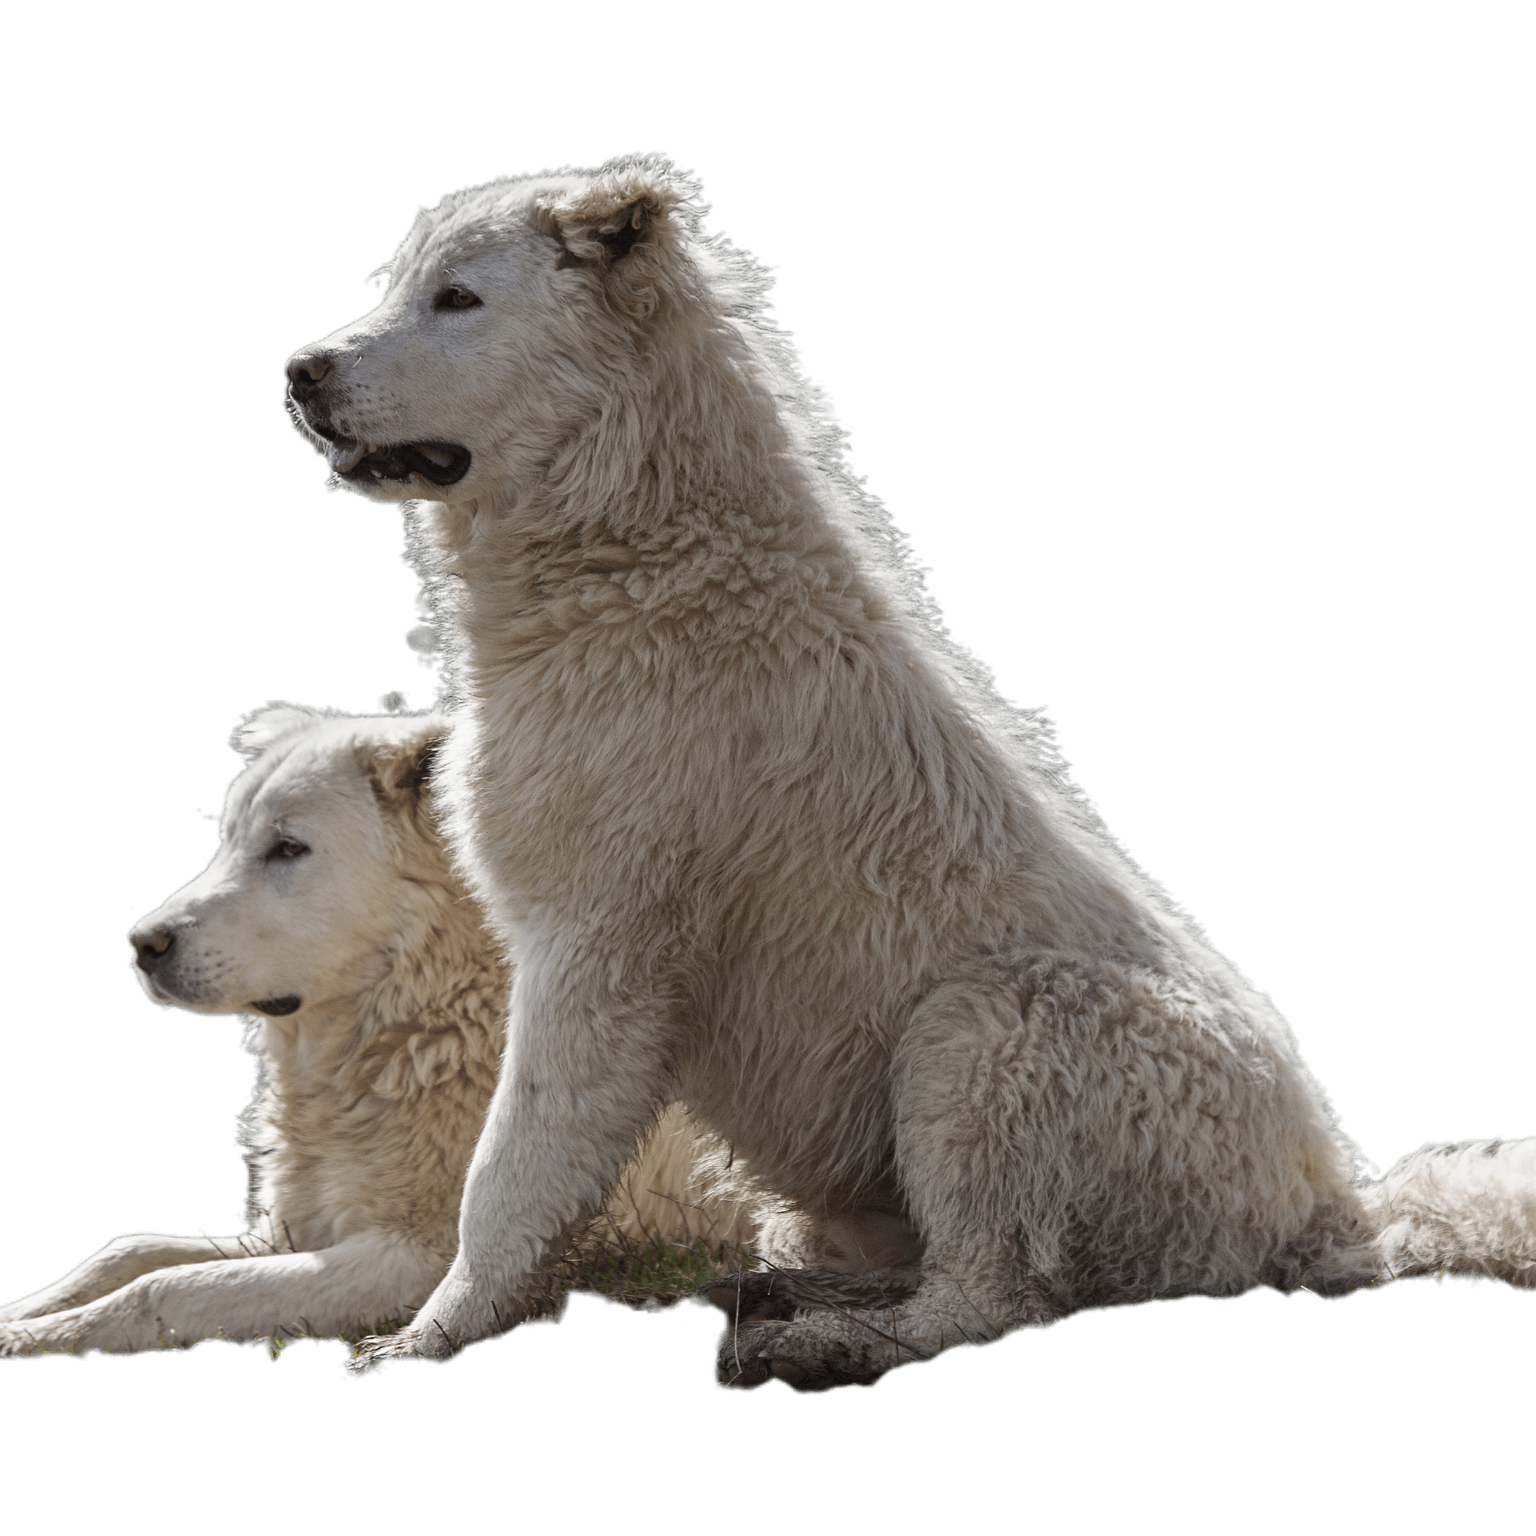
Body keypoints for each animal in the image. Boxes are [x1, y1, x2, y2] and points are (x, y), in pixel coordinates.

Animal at [0, 703, 749, 1363]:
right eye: (227, 843)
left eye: (288, 848)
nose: (142, 944)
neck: (413, 1030)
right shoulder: (290, 1230)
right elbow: (126, 1251)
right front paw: (23, 1312)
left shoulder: (412, 1259)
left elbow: (163, 1289)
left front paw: (31, 1338)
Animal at [282, 158, 1529, 1394]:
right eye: (396, 288)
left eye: (458, 299)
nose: (300, 374)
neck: (639, 550)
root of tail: (1335, 1208)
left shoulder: (597, 947)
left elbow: (503, 1172)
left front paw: (428, 1336)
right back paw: (789, 1298)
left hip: (976, 1031)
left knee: (989, 1300)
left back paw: (815, 1343)